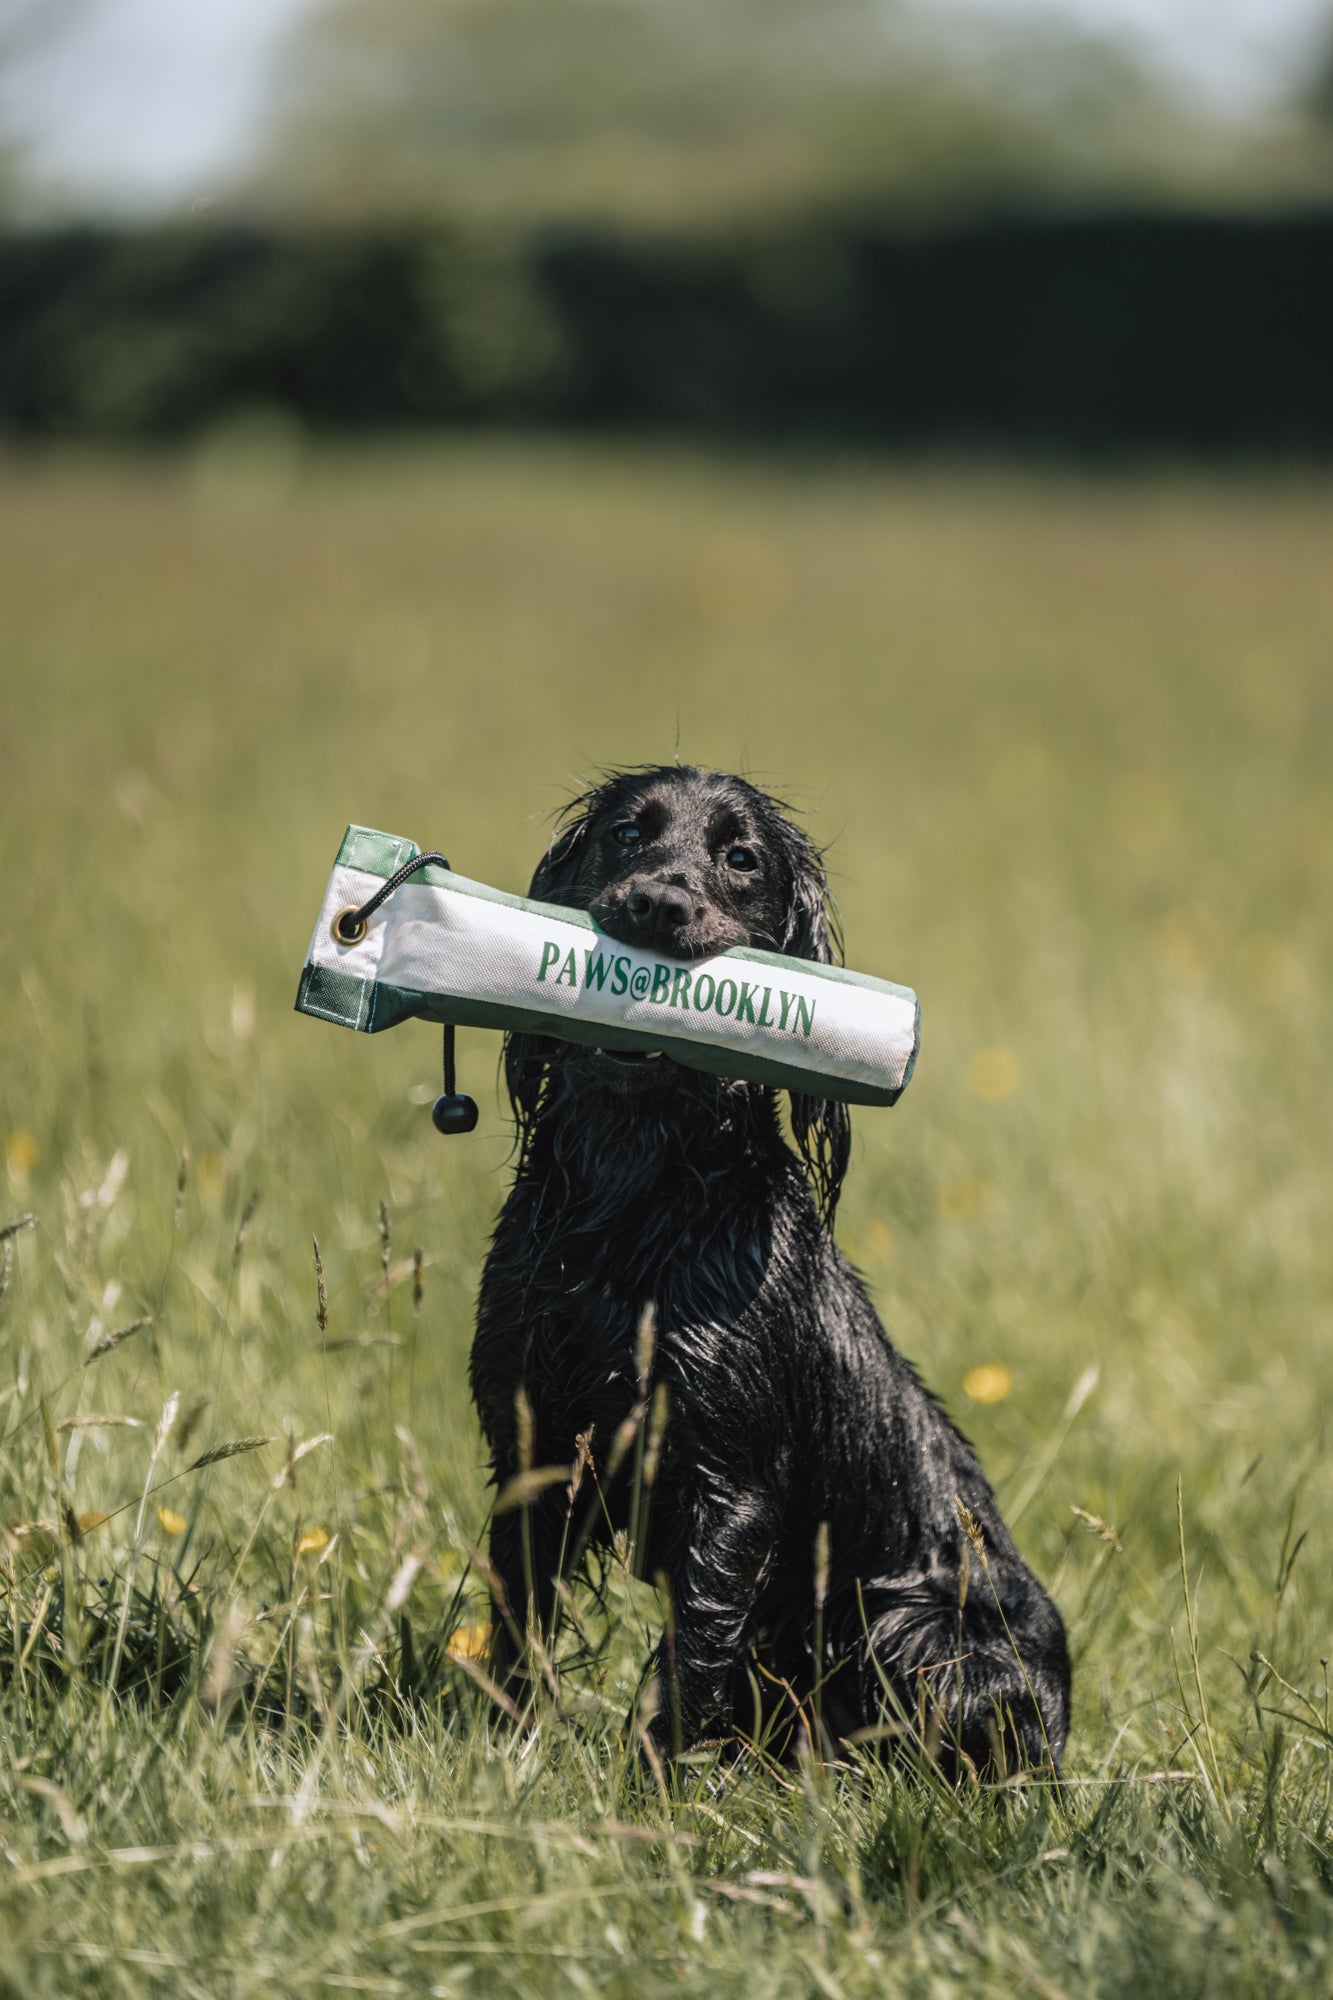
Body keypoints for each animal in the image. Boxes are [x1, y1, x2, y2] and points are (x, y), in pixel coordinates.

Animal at [470, 768, 1072, 1784]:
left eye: (742, 857)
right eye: (627, 833)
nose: (657, 904)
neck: (635, 1199)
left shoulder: (731, 1484)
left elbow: (690, 1656)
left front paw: (661, 1792)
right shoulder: (533, 1440)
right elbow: (523, 1627)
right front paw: (506, 1753)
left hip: (912, 1628)